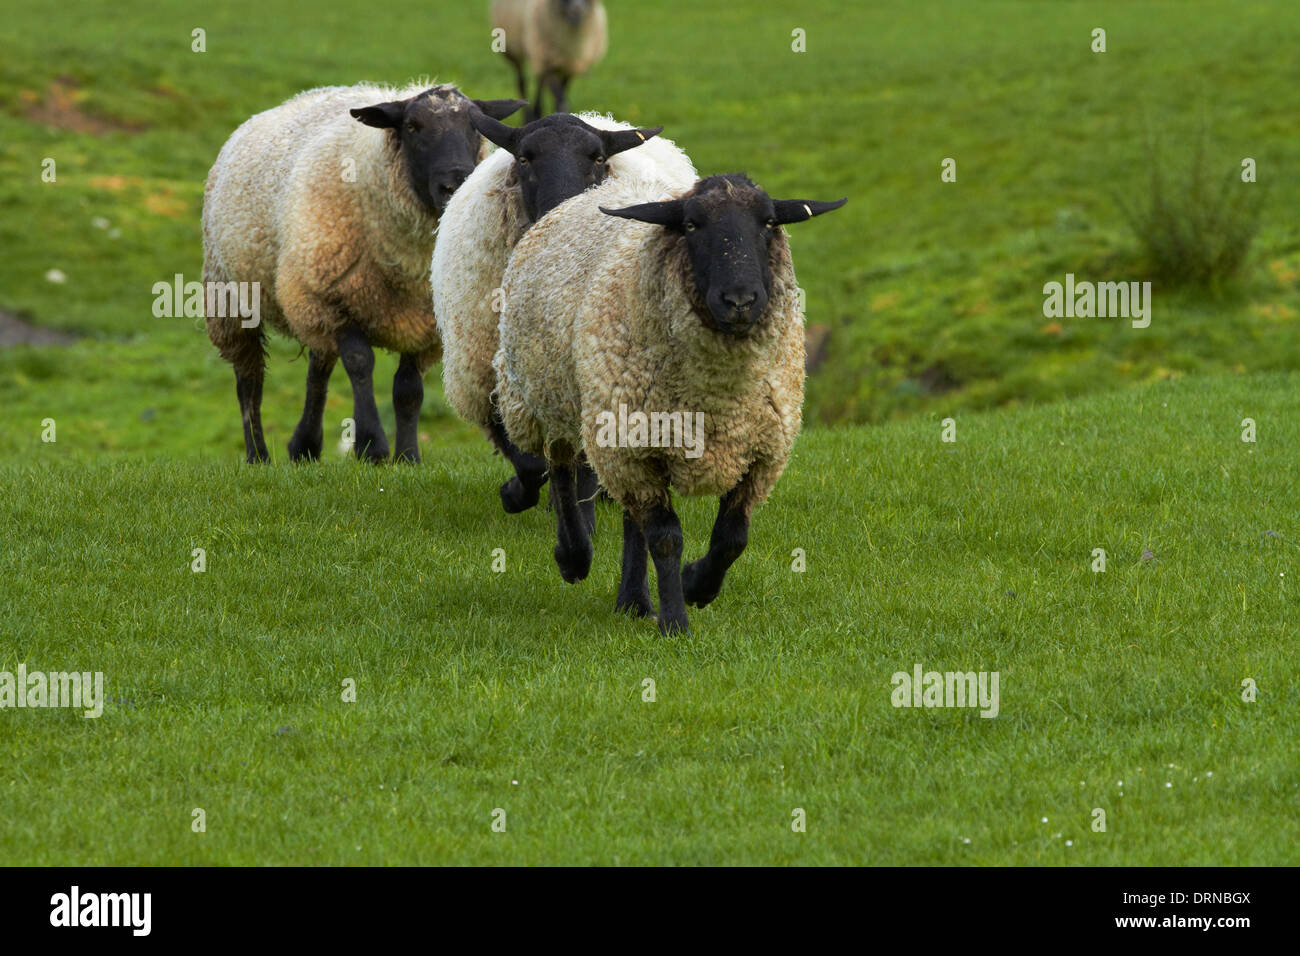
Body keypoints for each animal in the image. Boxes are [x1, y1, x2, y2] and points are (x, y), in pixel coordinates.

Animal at [204, 83, 527, 465]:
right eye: (412, 127)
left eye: (475, 128)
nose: (454, 184)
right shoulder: (332, 299)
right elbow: (361, 364)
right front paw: (372, 446)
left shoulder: (427, 323)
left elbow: (408, 390)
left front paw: (408, 456)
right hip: (231, 295)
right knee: (248, 380)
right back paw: (258, 455)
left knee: (318, 366)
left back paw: (304, 446)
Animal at [493, 171, 842, 634]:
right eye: (691, 225)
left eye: (768, 222)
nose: (740, 301)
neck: (718, 399)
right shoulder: (632, 446)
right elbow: (666, 538)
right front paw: (675, 621)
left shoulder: (762, 452)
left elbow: (731, 539)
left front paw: (697, 586)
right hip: (551, 400)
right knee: (563, 473)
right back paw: (574, 558)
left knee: (630, 518)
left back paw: (634, 600)